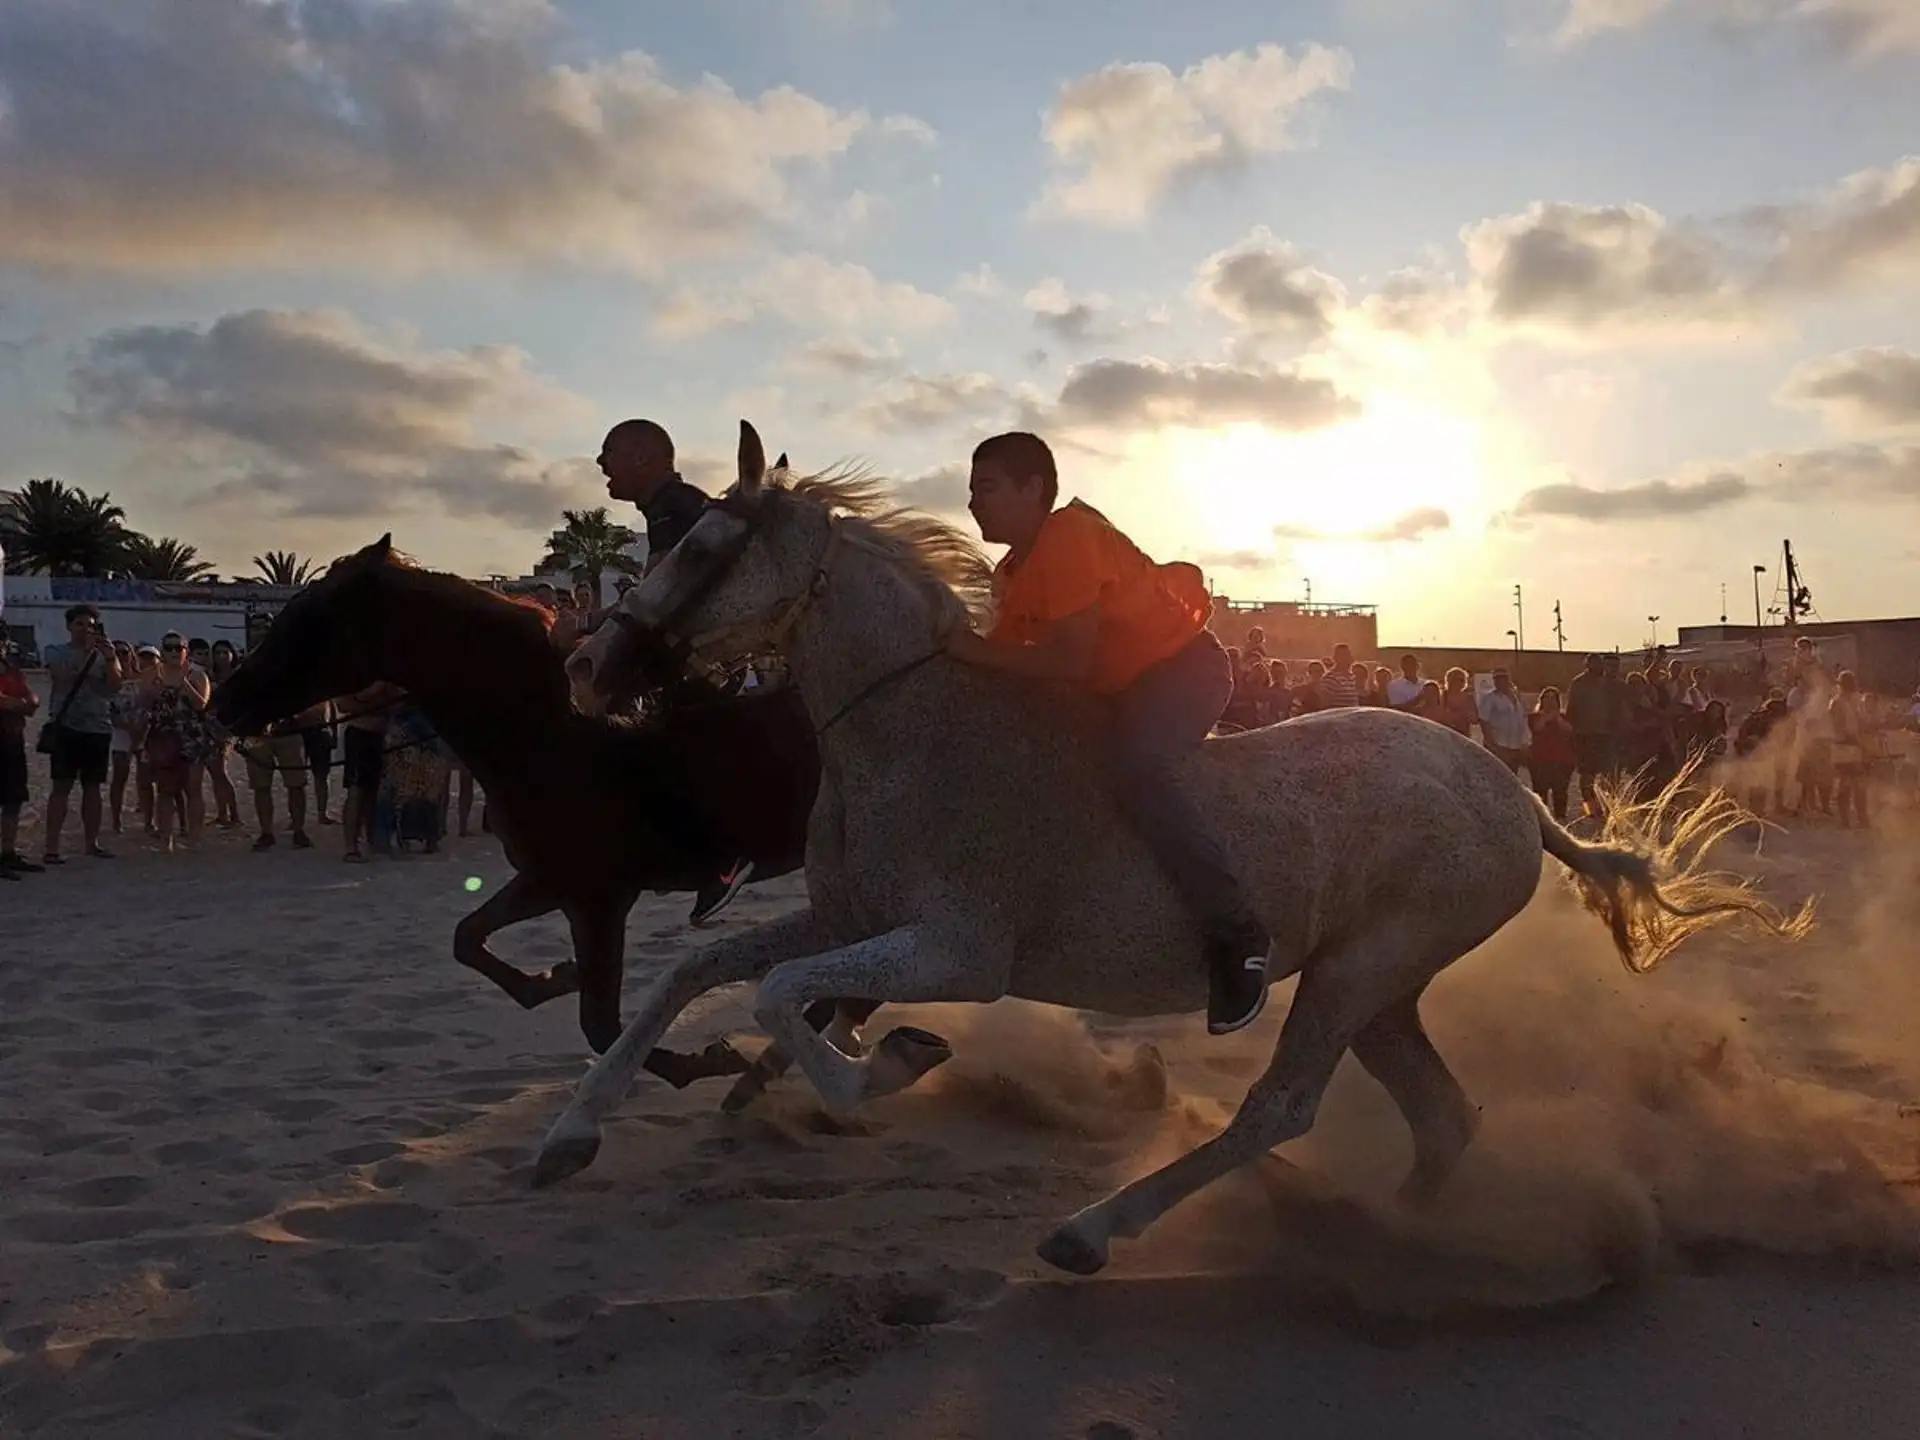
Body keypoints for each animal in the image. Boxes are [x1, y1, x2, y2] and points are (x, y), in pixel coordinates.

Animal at [212, 533, 825, 1082]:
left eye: (310, 618)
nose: (224, 702)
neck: (547, 739)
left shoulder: (598, 900)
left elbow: (602, 1027)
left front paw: (707, 1062)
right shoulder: (546, 884)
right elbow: (468, 939)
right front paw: (555, 978)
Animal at [549, 426, 1804, 1274]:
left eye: (704, 547)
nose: (588, 669)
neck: (910, 727)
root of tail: (1513, 793)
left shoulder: (957, 951)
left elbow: (787, 1002)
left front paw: (889, 1063)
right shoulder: (849, 915)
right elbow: (699, 971)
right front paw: (568, 1135)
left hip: (1363, 968)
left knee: (1281, 1110)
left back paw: (1097, 1231)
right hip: (1381, 984)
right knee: (1438, 1116)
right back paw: (1389, 1235)